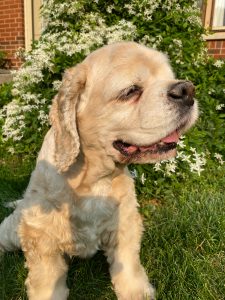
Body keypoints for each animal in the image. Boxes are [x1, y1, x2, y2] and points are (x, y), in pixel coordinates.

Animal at [0, 42, 197, 300]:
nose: (188, 90)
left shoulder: (125, 224)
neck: (96, 179)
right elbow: (47, 280)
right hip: (14, 229)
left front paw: (136, 291)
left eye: (169, 77)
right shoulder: (41, 237)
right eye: (131, 91)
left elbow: (128, 265)